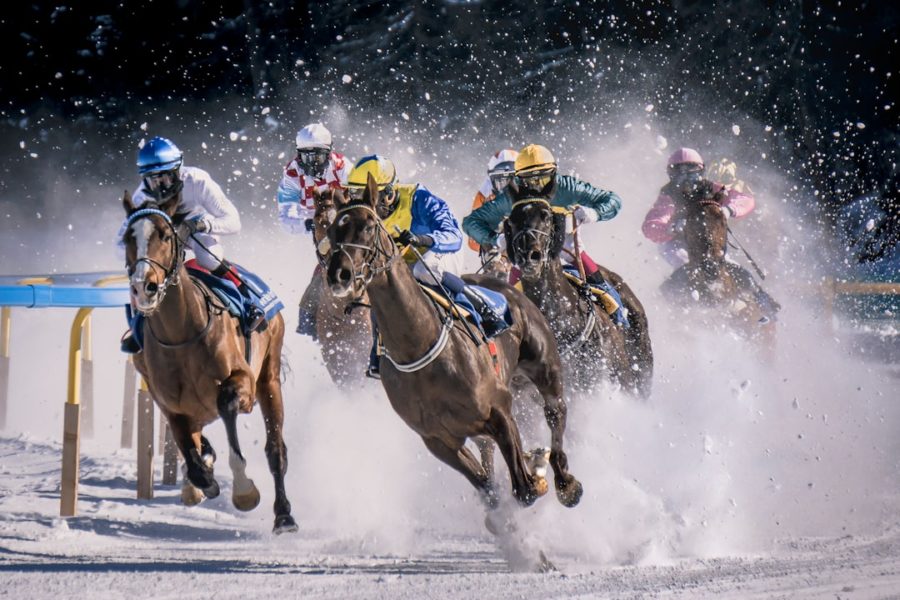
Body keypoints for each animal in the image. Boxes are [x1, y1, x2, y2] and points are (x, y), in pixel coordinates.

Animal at [121, 190, 298, 532]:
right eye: (126, 238)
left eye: (164, 235)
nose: (143, 286)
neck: (182, 334)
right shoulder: (172, 406)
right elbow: (192, 457)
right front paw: (201, 479)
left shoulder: (242, 382)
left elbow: (227, 404)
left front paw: (244, 491)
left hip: (269, 377)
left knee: (276, 450)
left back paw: (284, 515)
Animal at [324, 175, 584, 524]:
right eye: (331, 231)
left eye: (368, 225)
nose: (339, 275)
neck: (420, 347)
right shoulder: (438, 440)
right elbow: (489, 489)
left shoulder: (498, 410)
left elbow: (525, 488)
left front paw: (537, 472)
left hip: (544, 366)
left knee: (556, 412)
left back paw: (564, 480)